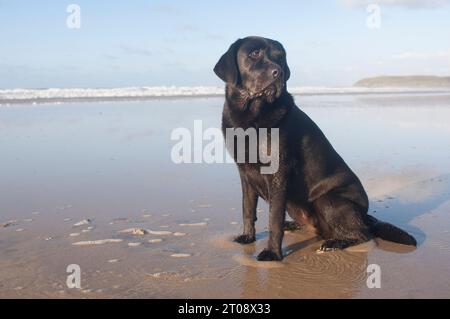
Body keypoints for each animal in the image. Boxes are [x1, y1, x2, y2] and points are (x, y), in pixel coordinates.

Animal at [213, 37, 416, 262]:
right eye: (255, 53)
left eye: (280, 57)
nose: (278, 73)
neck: (251, 116)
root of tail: (365, 216)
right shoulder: (245, 172)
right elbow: (247, 209)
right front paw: (248, 237)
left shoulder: (277, 172)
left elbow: (274, 218)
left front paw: (272, 253)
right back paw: (295, 225)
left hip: (327, 200)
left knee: (363, 234)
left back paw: (334, 244)